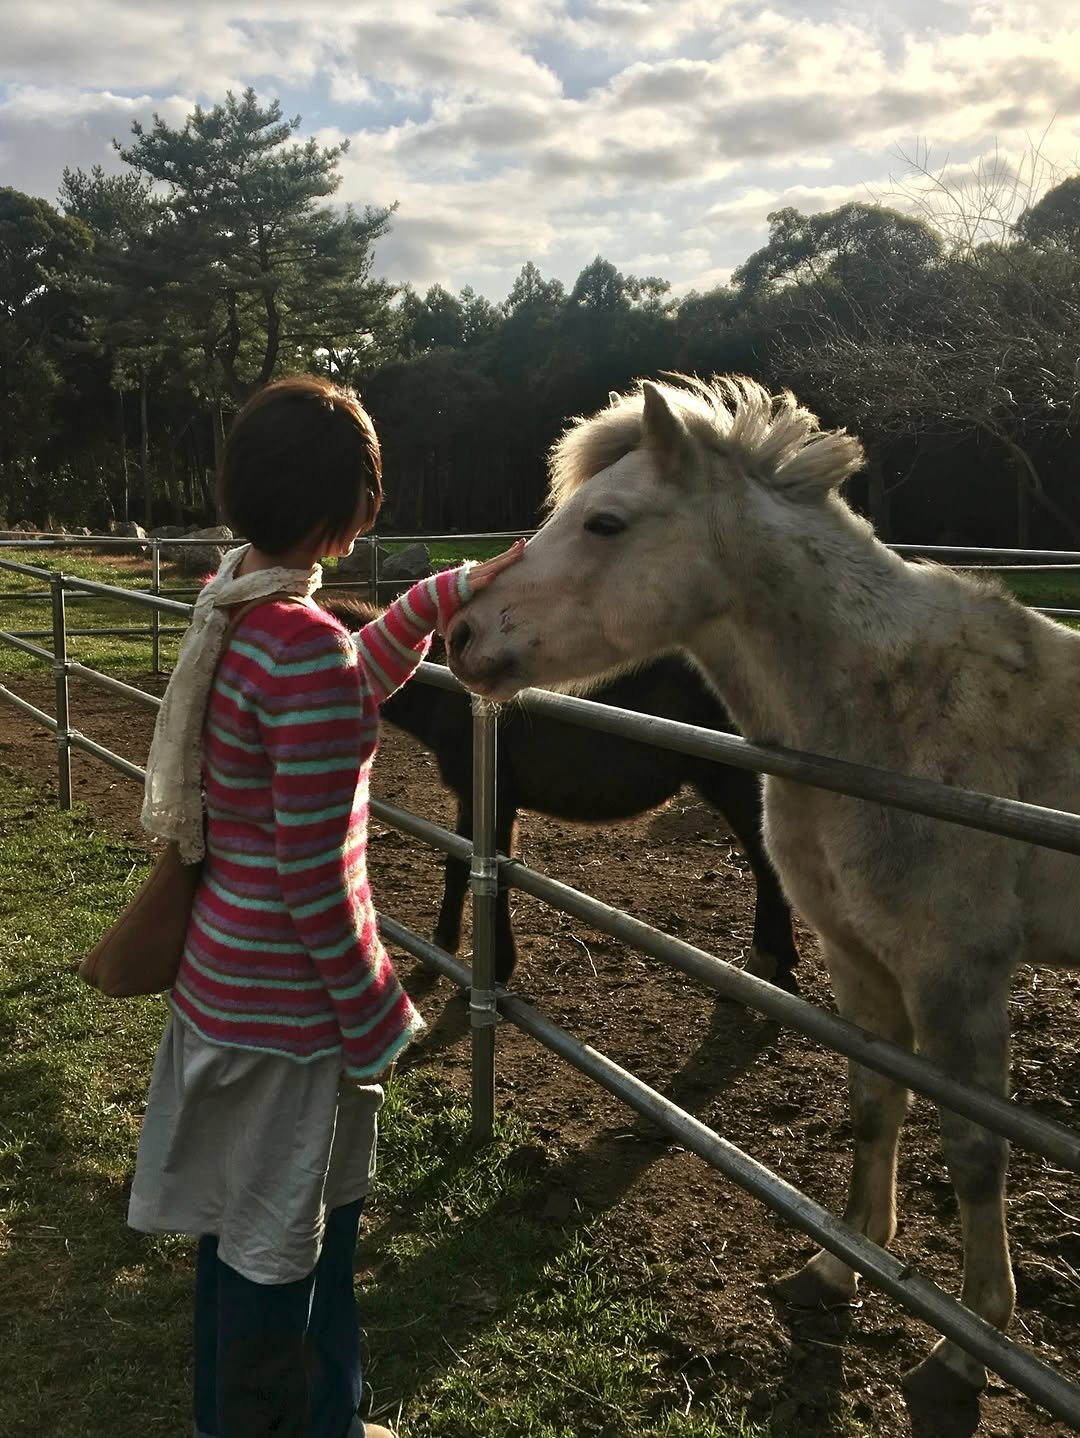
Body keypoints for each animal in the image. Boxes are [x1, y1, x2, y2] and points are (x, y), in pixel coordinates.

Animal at [325, 597, 800, 990]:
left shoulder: (493, 801)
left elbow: (484, 871)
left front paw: (493, 966)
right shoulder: (473, 799)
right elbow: (460, 864)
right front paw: (444, 948)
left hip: (735, 784)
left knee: (766, 863)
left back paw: (765, 960)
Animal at [443, 373, 1080, 1403]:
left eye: (606, 522)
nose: (461, 635)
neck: (889, 717)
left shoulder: (958, 976)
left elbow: (977, 1152)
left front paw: (969, 1344)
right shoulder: (858, 963)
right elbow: (874, 1105)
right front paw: (842, 1267)